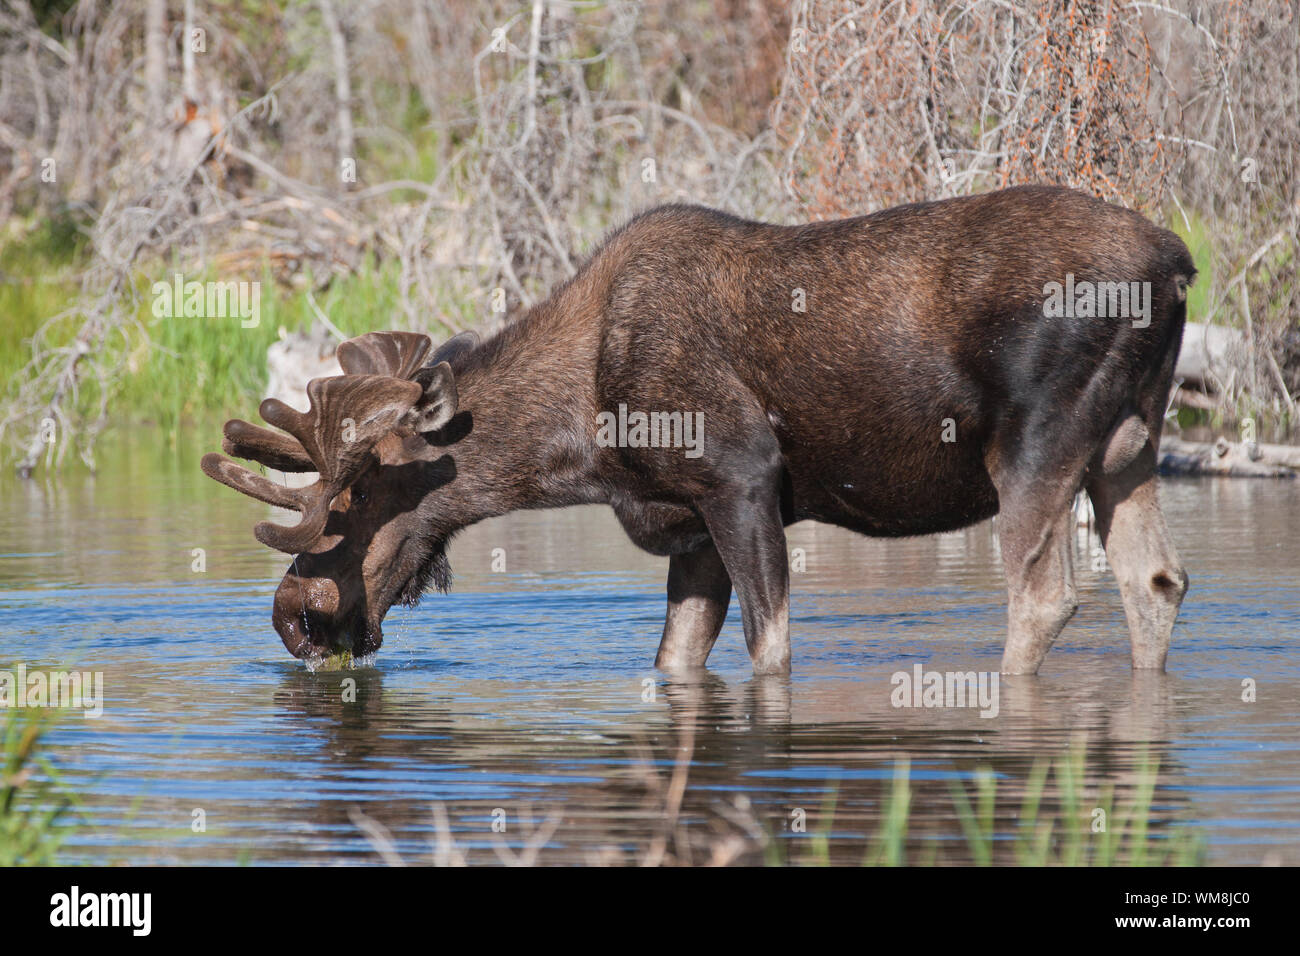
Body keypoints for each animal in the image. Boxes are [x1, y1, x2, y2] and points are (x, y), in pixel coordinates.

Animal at [205, 187, 1196, 676]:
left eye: (358, 489)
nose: (293, 615)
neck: (581, 444)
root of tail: (1178, 263)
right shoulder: (686, 528)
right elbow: (675, 660)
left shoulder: (742, 478)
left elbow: (772, 649)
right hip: (1127, 445)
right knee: (1156, 583)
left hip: (1034, 440)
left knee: (1046, 598)